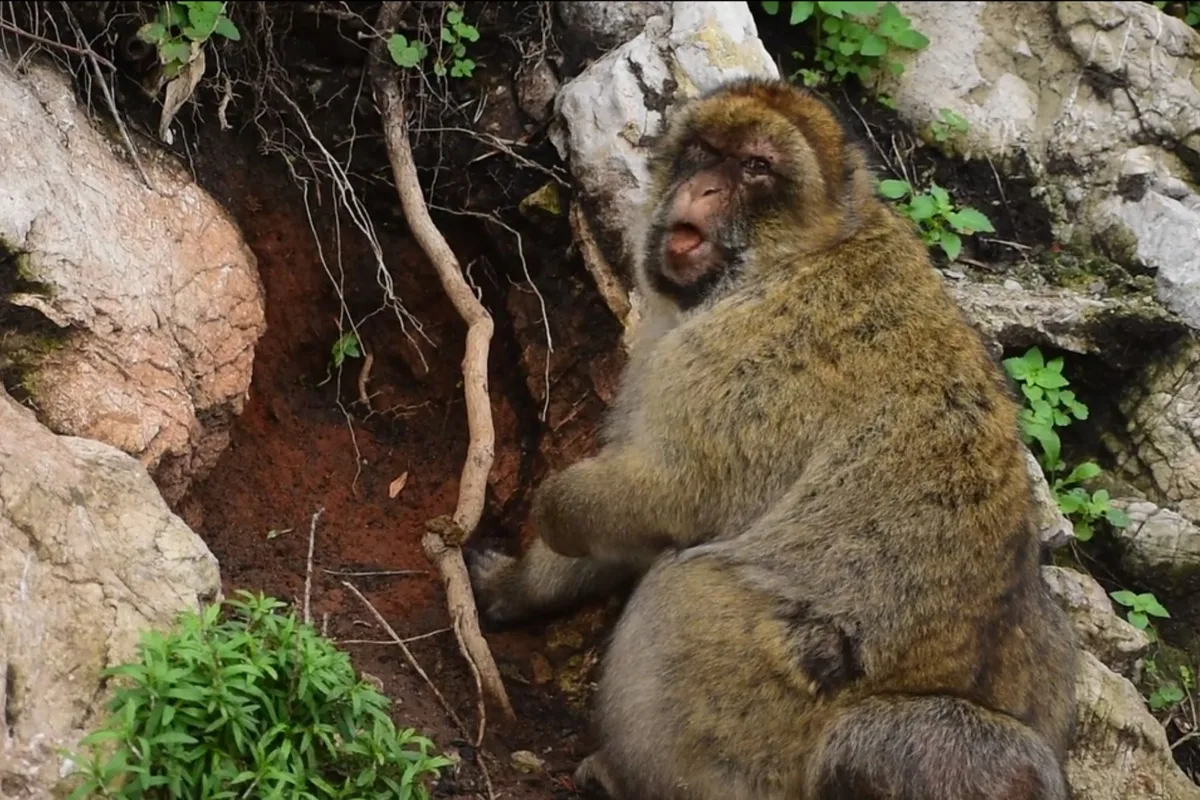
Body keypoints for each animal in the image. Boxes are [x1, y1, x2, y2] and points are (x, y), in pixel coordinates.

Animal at [469, 77, 1078, 800]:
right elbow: (636, 530)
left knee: (687, 588)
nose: (702, 189)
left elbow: (669, 497)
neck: (802, 253)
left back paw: (626, 777)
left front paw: (554, 510)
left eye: (755, 166)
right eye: (704, 151)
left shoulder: (743, 356)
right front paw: (517, 587)